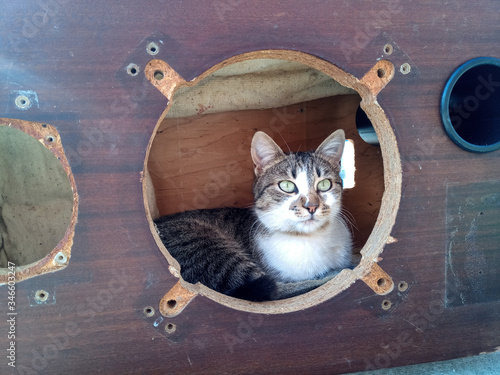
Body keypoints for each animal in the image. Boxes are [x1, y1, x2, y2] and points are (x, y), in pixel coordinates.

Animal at [154, 130, 354, 302]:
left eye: (325, 184)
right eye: (287, 186)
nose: (311, 206)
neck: (307, 240)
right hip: (205, 244)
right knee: (274, 292)